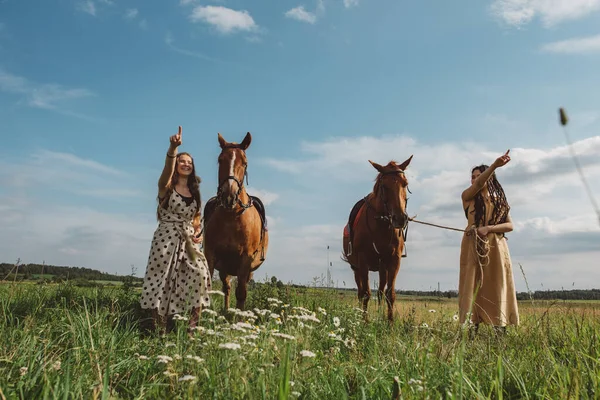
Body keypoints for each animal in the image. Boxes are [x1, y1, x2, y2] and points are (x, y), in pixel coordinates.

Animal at [203, 133, 268, 310]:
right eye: (220, 160)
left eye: (244, 162)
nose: (229, 196)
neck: (231, 216)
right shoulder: (211, 256)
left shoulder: (246, 260)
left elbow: (241, 294)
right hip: (224, 268)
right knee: (227, 287)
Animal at [342, 156, 412, 322]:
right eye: (384, 186)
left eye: (405, 183)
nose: (400, 218)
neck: (380, 223)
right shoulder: (363, 261)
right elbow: (366, 294)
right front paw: (365, 322)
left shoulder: (394, 261)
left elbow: (390, 294)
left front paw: (389, 323)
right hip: (356, 268)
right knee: (360, 293)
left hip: (382, 268)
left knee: (380, 292)